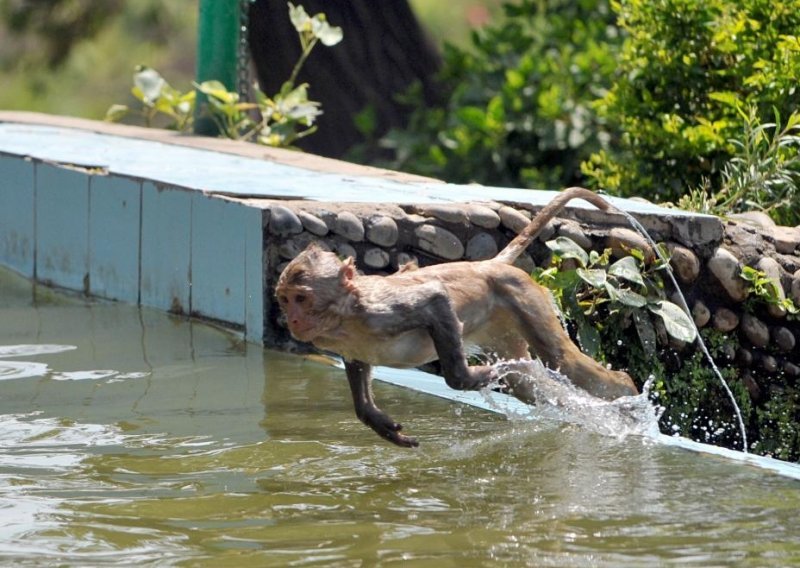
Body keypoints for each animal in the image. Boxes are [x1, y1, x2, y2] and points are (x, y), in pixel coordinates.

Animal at [276, 189, 636, 446]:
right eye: (284, 300)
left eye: (301, 298)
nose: (292, 320)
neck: (344, 317)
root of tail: (486, 265)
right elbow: (357, 364)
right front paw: (376, 420)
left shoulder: (380, 311)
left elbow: (435, 299)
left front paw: (466, 378)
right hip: (501, 327)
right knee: (527, 381)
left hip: (522, 297)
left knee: (562, 361)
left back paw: (628, 394)